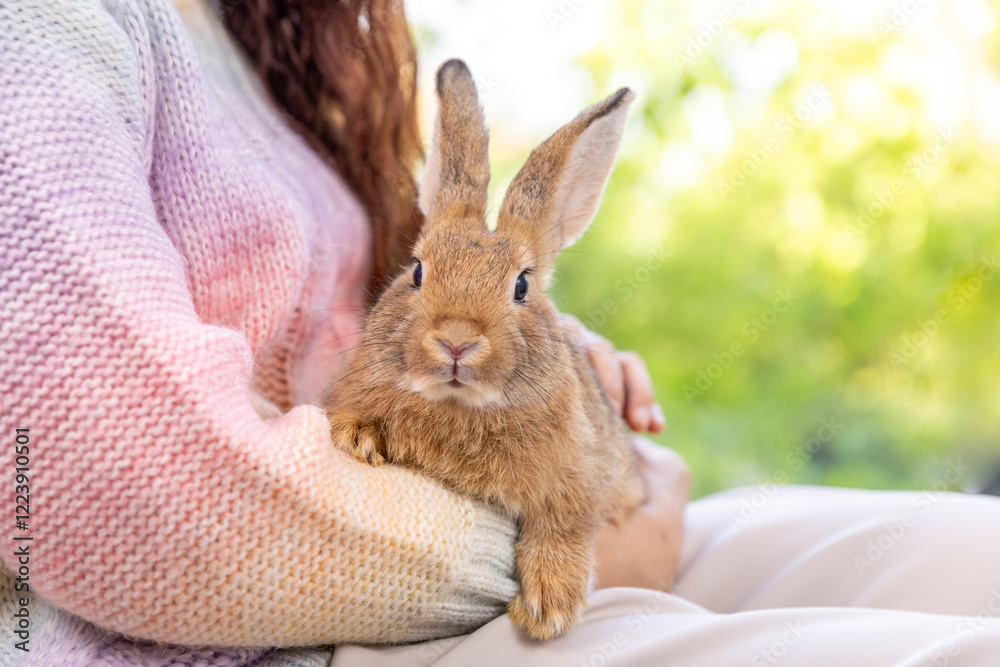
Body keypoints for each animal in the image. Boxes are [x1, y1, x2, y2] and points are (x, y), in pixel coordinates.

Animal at [325, 58, 645, 641]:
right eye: (417, 271)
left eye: (521, 286)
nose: (456, 339)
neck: (458, 408)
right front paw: (357, 437)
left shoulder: (580, 477)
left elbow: (564, 522)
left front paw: (549, 605)